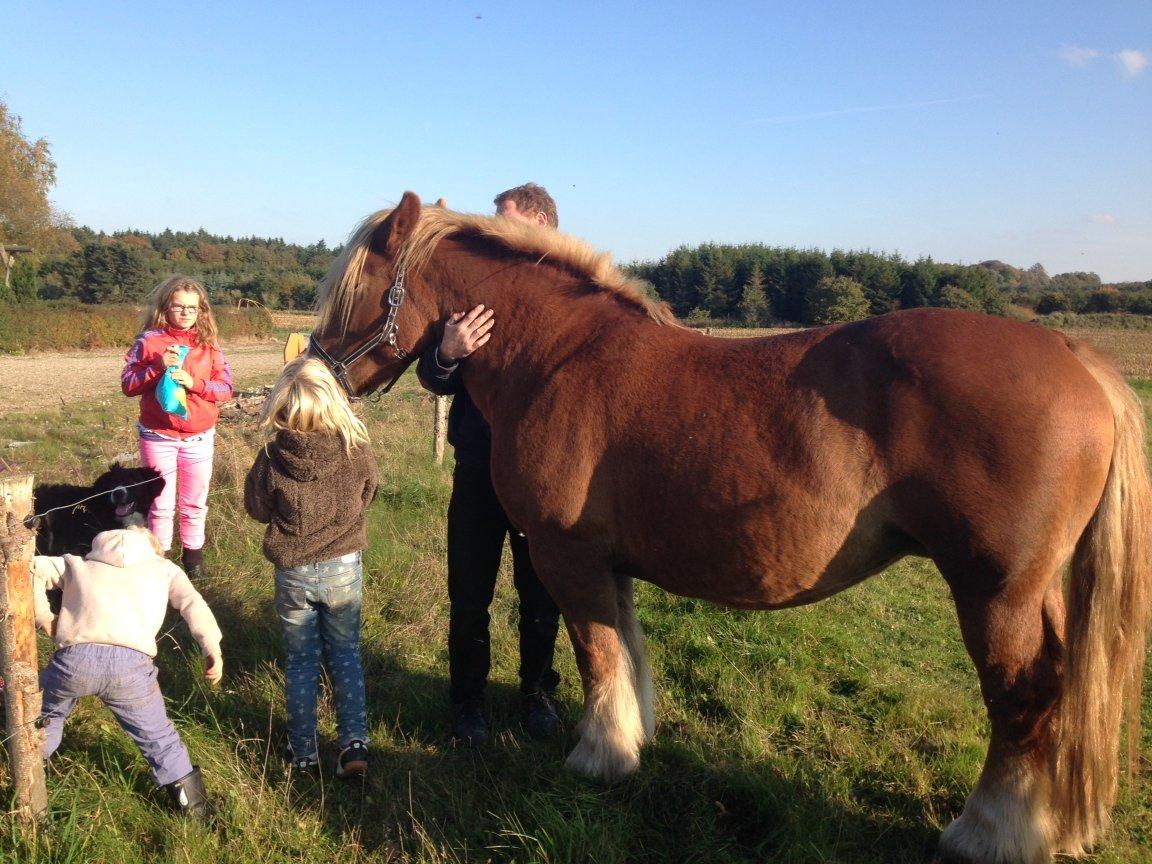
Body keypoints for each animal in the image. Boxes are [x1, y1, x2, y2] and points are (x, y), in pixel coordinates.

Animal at [311, 192, 1147, 861]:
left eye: (355, 288)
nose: (319, 366)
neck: (557, 356)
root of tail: (1074, 354)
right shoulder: (608, 565)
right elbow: (626, 652)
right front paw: (631, 738)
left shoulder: (567, 556)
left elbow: (595, 653)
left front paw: (599, 757)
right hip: (1033, 591)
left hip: (996, 593)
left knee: (1023, 699)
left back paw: (987, 833)